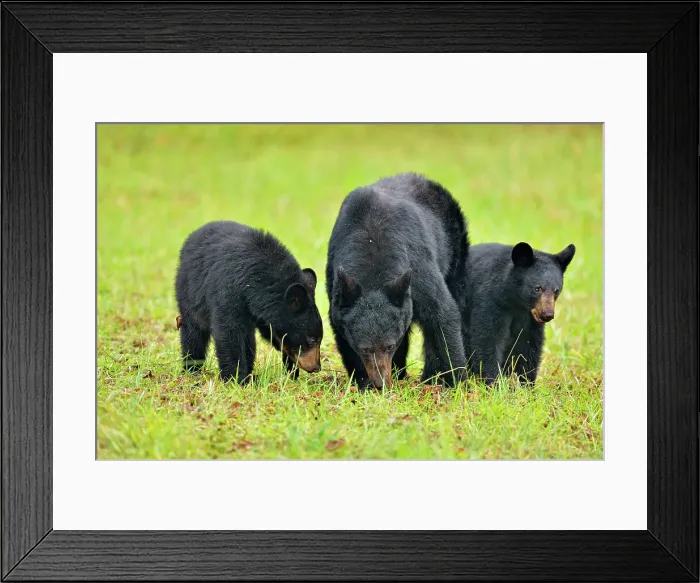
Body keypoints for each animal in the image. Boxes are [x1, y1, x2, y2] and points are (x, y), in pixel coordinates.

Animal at [174, 221, 323, 384]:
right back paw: (192, 368)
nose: (316, 367)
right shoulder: (228, 290)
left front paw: (290, 373)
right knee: (193, 331)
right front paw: (236, 378)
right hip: (189, 293)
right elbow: (229, 332)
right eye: (312, 340)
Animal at [325, 172, 470, 390]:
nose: (381, 383)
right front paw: (363, 381)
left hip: (455, 248)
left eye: (389, 346)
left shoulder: (418, 268)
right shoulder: (335, 283)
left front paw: (455, 381)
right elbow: (341, 331)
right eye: (364, 349)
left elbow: (442, 313)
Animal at [463, 241, 576, 385]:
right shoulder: (489, 301)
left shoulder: (530, 317)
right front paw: (493, 383)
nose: (547, 315)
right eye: (537, 288)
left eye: (556, 290)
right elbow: (487, 339)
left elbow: (530, 345)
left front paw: (526, 384)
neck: (516, 302)